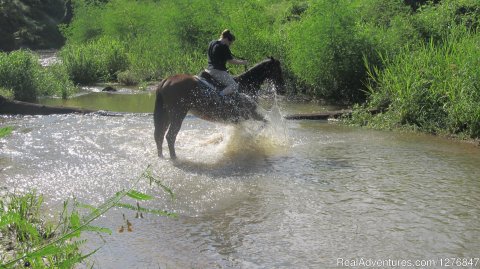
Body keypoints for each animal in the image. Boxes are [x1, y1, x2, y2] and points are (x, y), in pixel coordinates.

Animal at [154, 56, 284, 157]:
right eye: (278, 69)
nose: (283, 89)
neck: (245, 85)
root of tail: (166, 80)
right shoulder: (249, 114)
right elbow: (265, 123)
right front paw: (251, 138)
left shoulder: (238, 119)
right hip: (178, 114)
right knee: (170, 136)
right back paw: (174, 157)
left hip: (167, 114)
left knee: (160, 135)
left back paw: (161, 156)